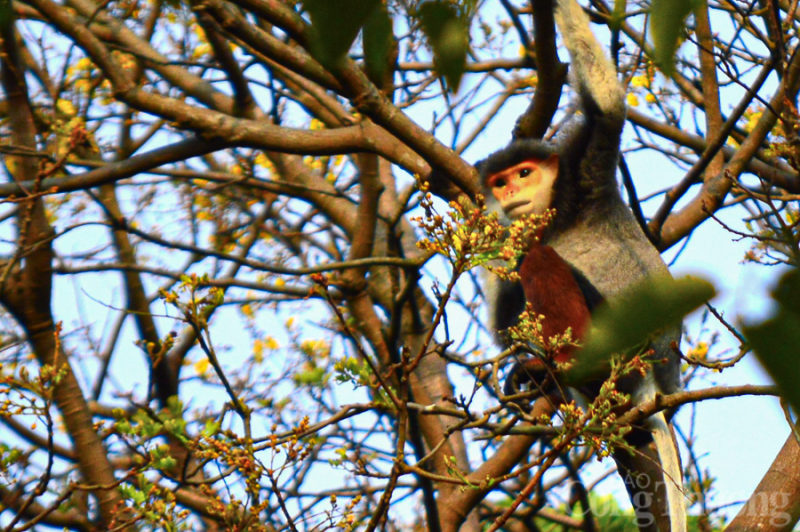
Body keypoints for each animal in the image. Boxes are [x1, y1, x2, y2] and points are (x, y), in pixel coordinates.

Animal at [476, 1, 688, 532]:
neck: (556, 211)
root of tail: (660, 383)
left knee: (540, 263)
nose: (512, 191)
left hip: (621, 349)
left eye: (524, 173)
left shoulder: (584, 170)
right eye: (502, 180)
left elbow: (608, 103)